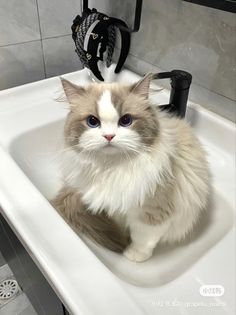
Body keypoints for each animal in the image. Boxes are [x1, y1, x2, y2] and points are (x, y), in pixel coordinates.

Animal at [53, 73, 210, 262]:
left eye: (126, 120)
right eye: (92, 121)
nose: (109, 136)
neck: (113, 168)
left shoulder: (152, 212)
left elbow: (143, 237)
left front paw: (134, 254)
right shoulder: (114, 206)